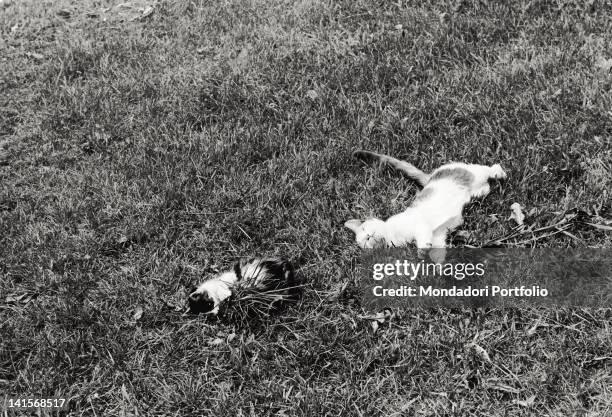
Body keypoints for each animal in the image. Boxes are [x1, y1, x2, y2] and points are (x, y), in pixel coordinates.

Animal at [344, 151, 506, 252]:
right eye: (364, 242)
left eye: (364, 229)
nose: (368, 236)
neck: (392, 236)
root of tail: (430, 177)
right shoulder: (439, 234)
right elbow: (437, 249)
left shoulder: (419, 224)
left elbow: (422, 236)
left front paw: (422, 250)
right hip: (479, 192)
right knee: (485, 186)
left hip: (474, 173)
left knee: (488, 169)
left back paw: (499, 173)